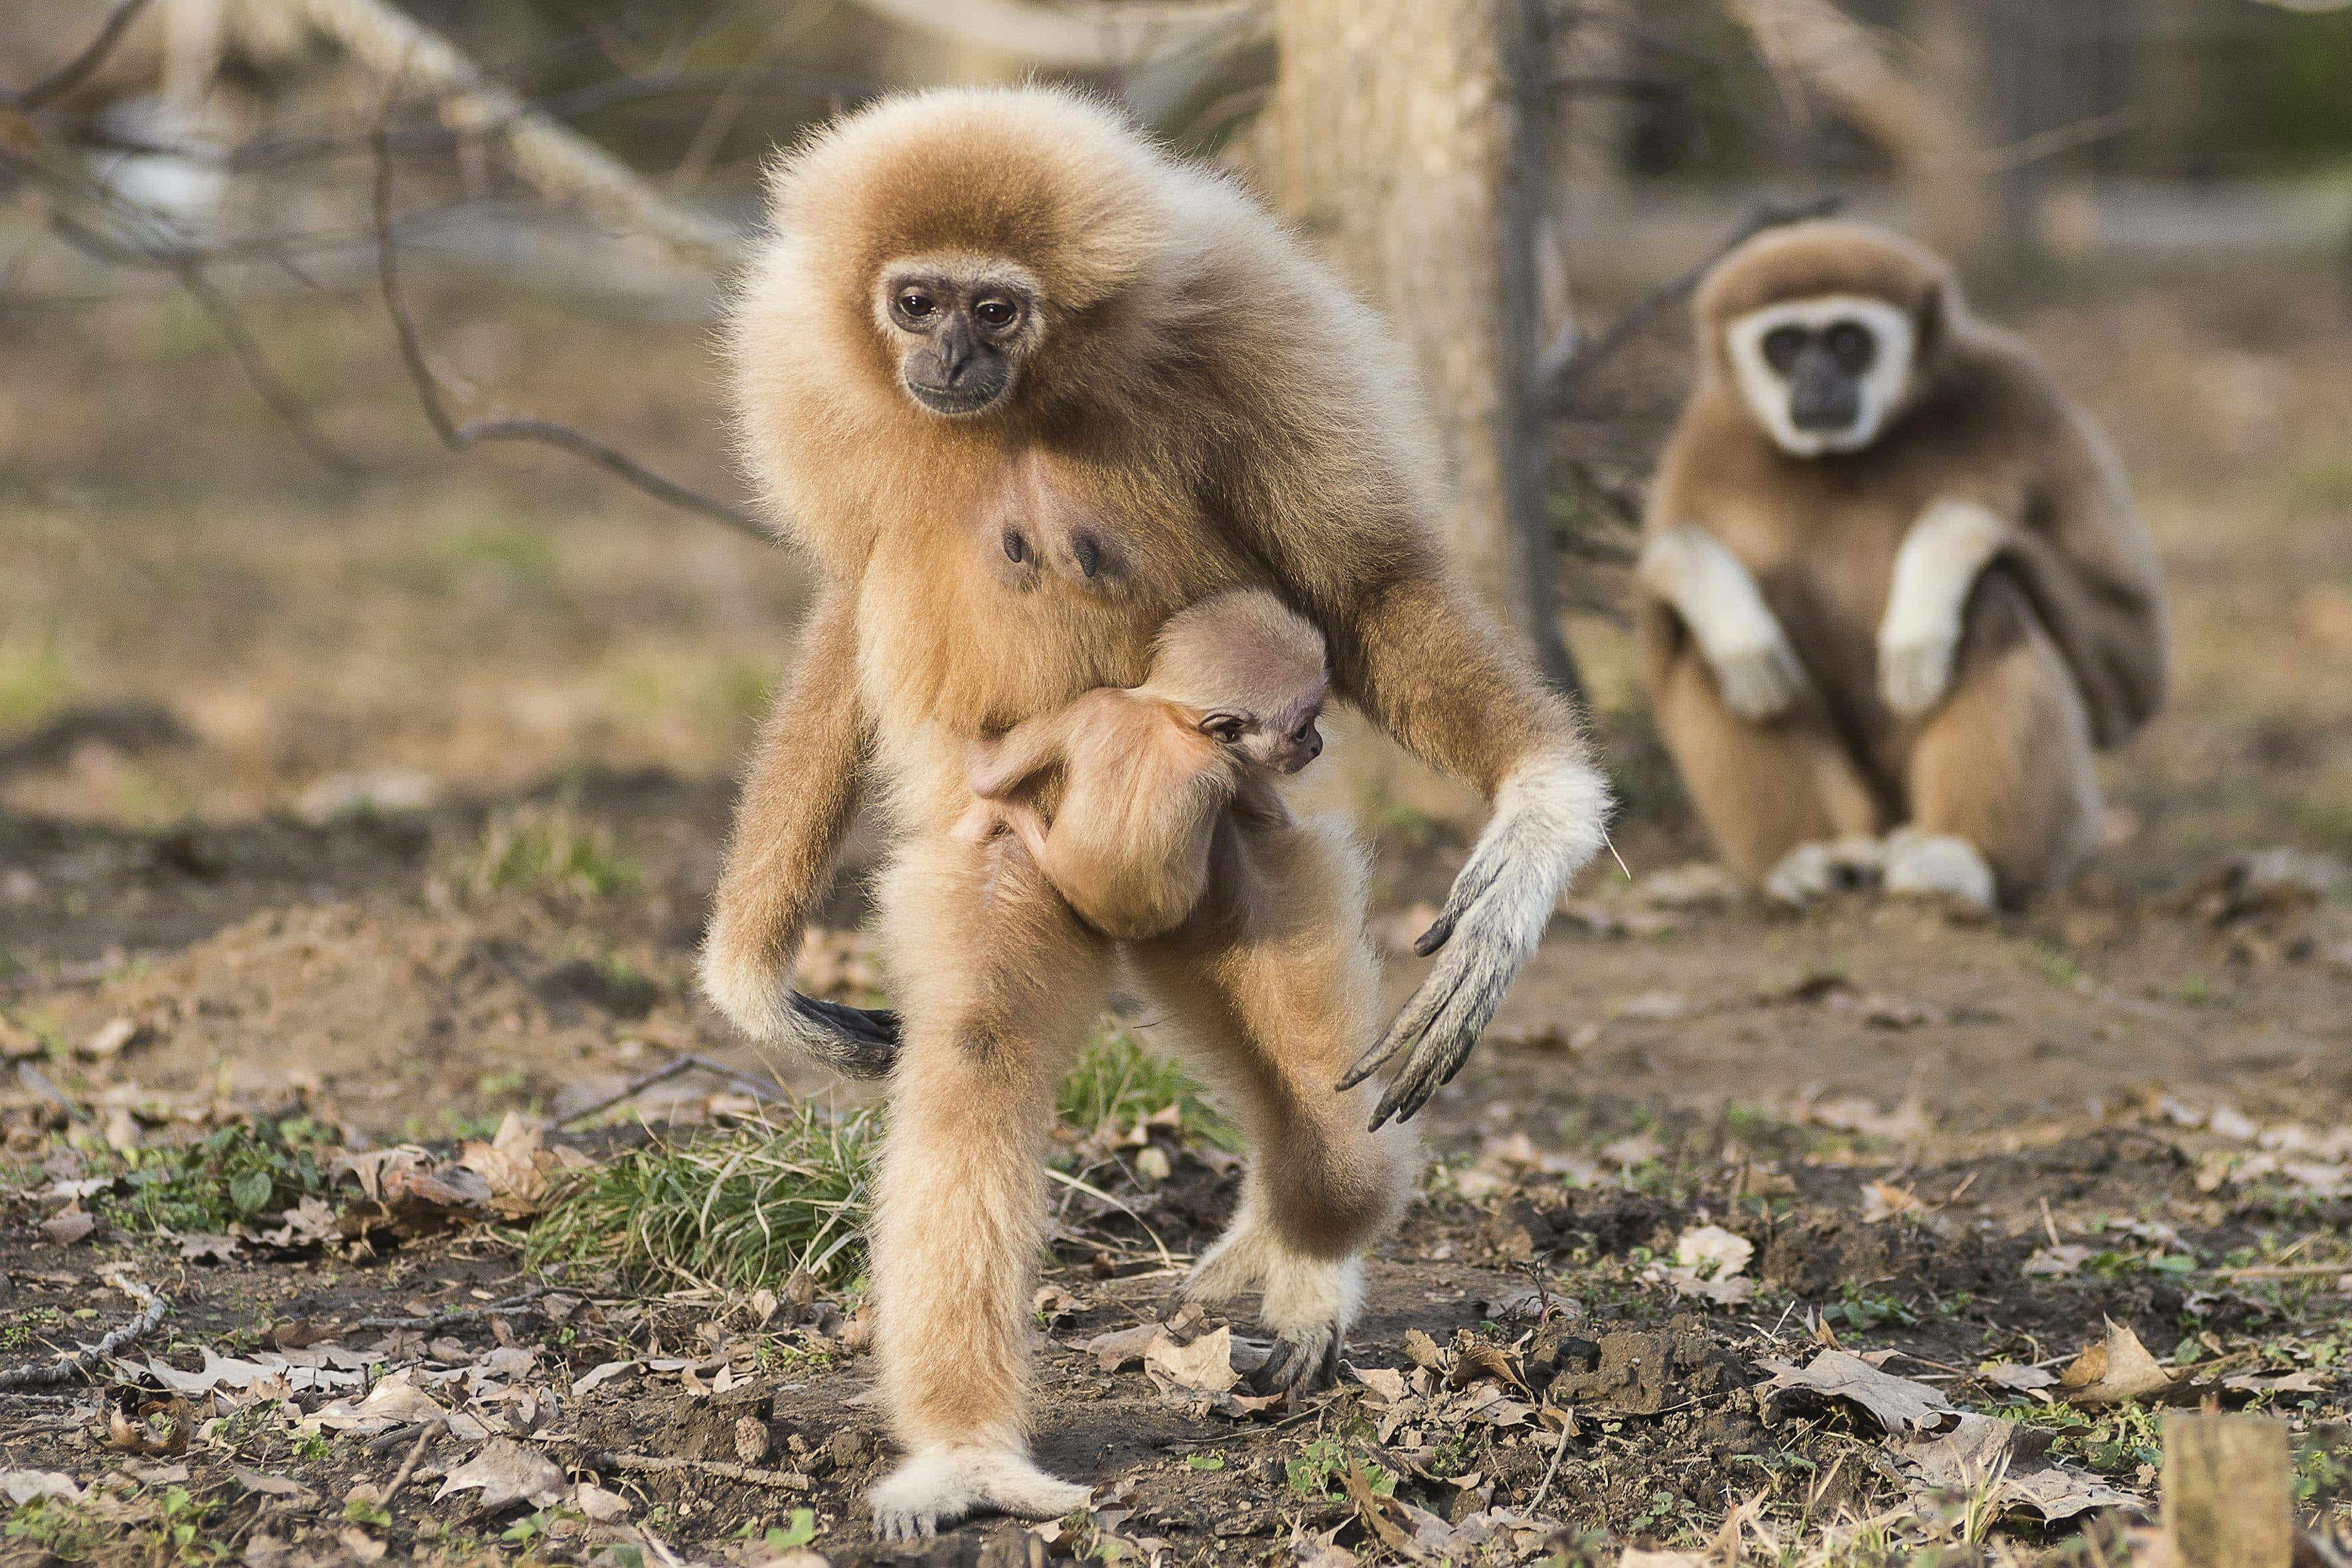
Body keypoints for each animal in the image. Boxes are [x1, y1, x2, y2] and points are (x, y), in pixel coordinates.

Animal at [955, 588, 1328, 942]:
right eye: (1301, 732)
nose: (1317, 745)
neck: (1168, 713)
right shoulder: (1232, 762)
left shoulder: (1096, 702)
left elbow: (987, 781)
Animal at [1634, 219, 2167, 910]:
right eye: (1784, 346)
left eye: (1847, 341)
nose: (1817, 384)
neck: (1851, 454)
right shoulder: (1705, 438)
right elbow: (1671, 608)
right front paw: (1714, 594)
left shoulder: (2023, 396)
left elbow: (2131, 671)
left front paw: (1933, 571)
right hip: (1864, 809)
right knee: (1717, 655)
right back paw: (1811, 855)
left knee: (1993, 600)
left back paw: (1962, 858)